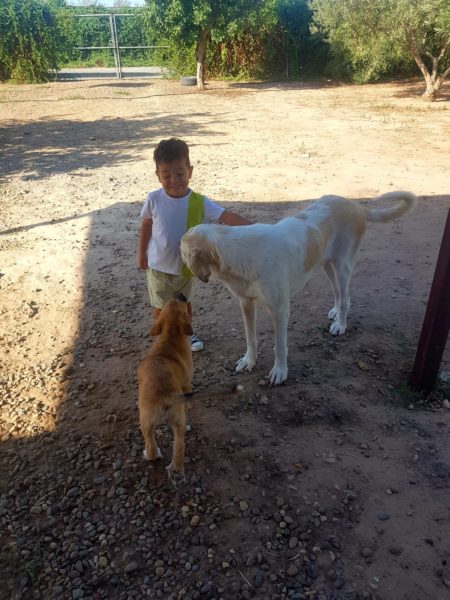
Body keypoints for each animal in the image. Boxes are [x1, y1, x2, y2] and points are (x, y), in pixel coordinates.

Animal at [137, 295, 193, 482]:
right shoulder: (187, 384)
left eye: (171, 301)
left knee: (154, 447)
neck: (169, 337)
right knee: (177, 445)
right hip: (174, 420)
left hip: (146, 422)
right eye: (182, 303)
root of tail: (166, 396)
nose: (180, 294)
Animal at [181, 191, 417, 385]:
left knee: (346, 298)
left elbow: (280, 346)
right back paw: (334, 312)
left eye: (182, 250)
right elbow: (250, 338)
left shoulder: (280, 311)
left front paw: (280, 371)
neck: (239, 253)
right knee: (337, 293)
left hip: (342, 266)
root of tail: (354, 204)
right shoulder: (246, 304)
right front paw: (249, 361)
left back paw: (340, 324)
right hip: (325, 263)